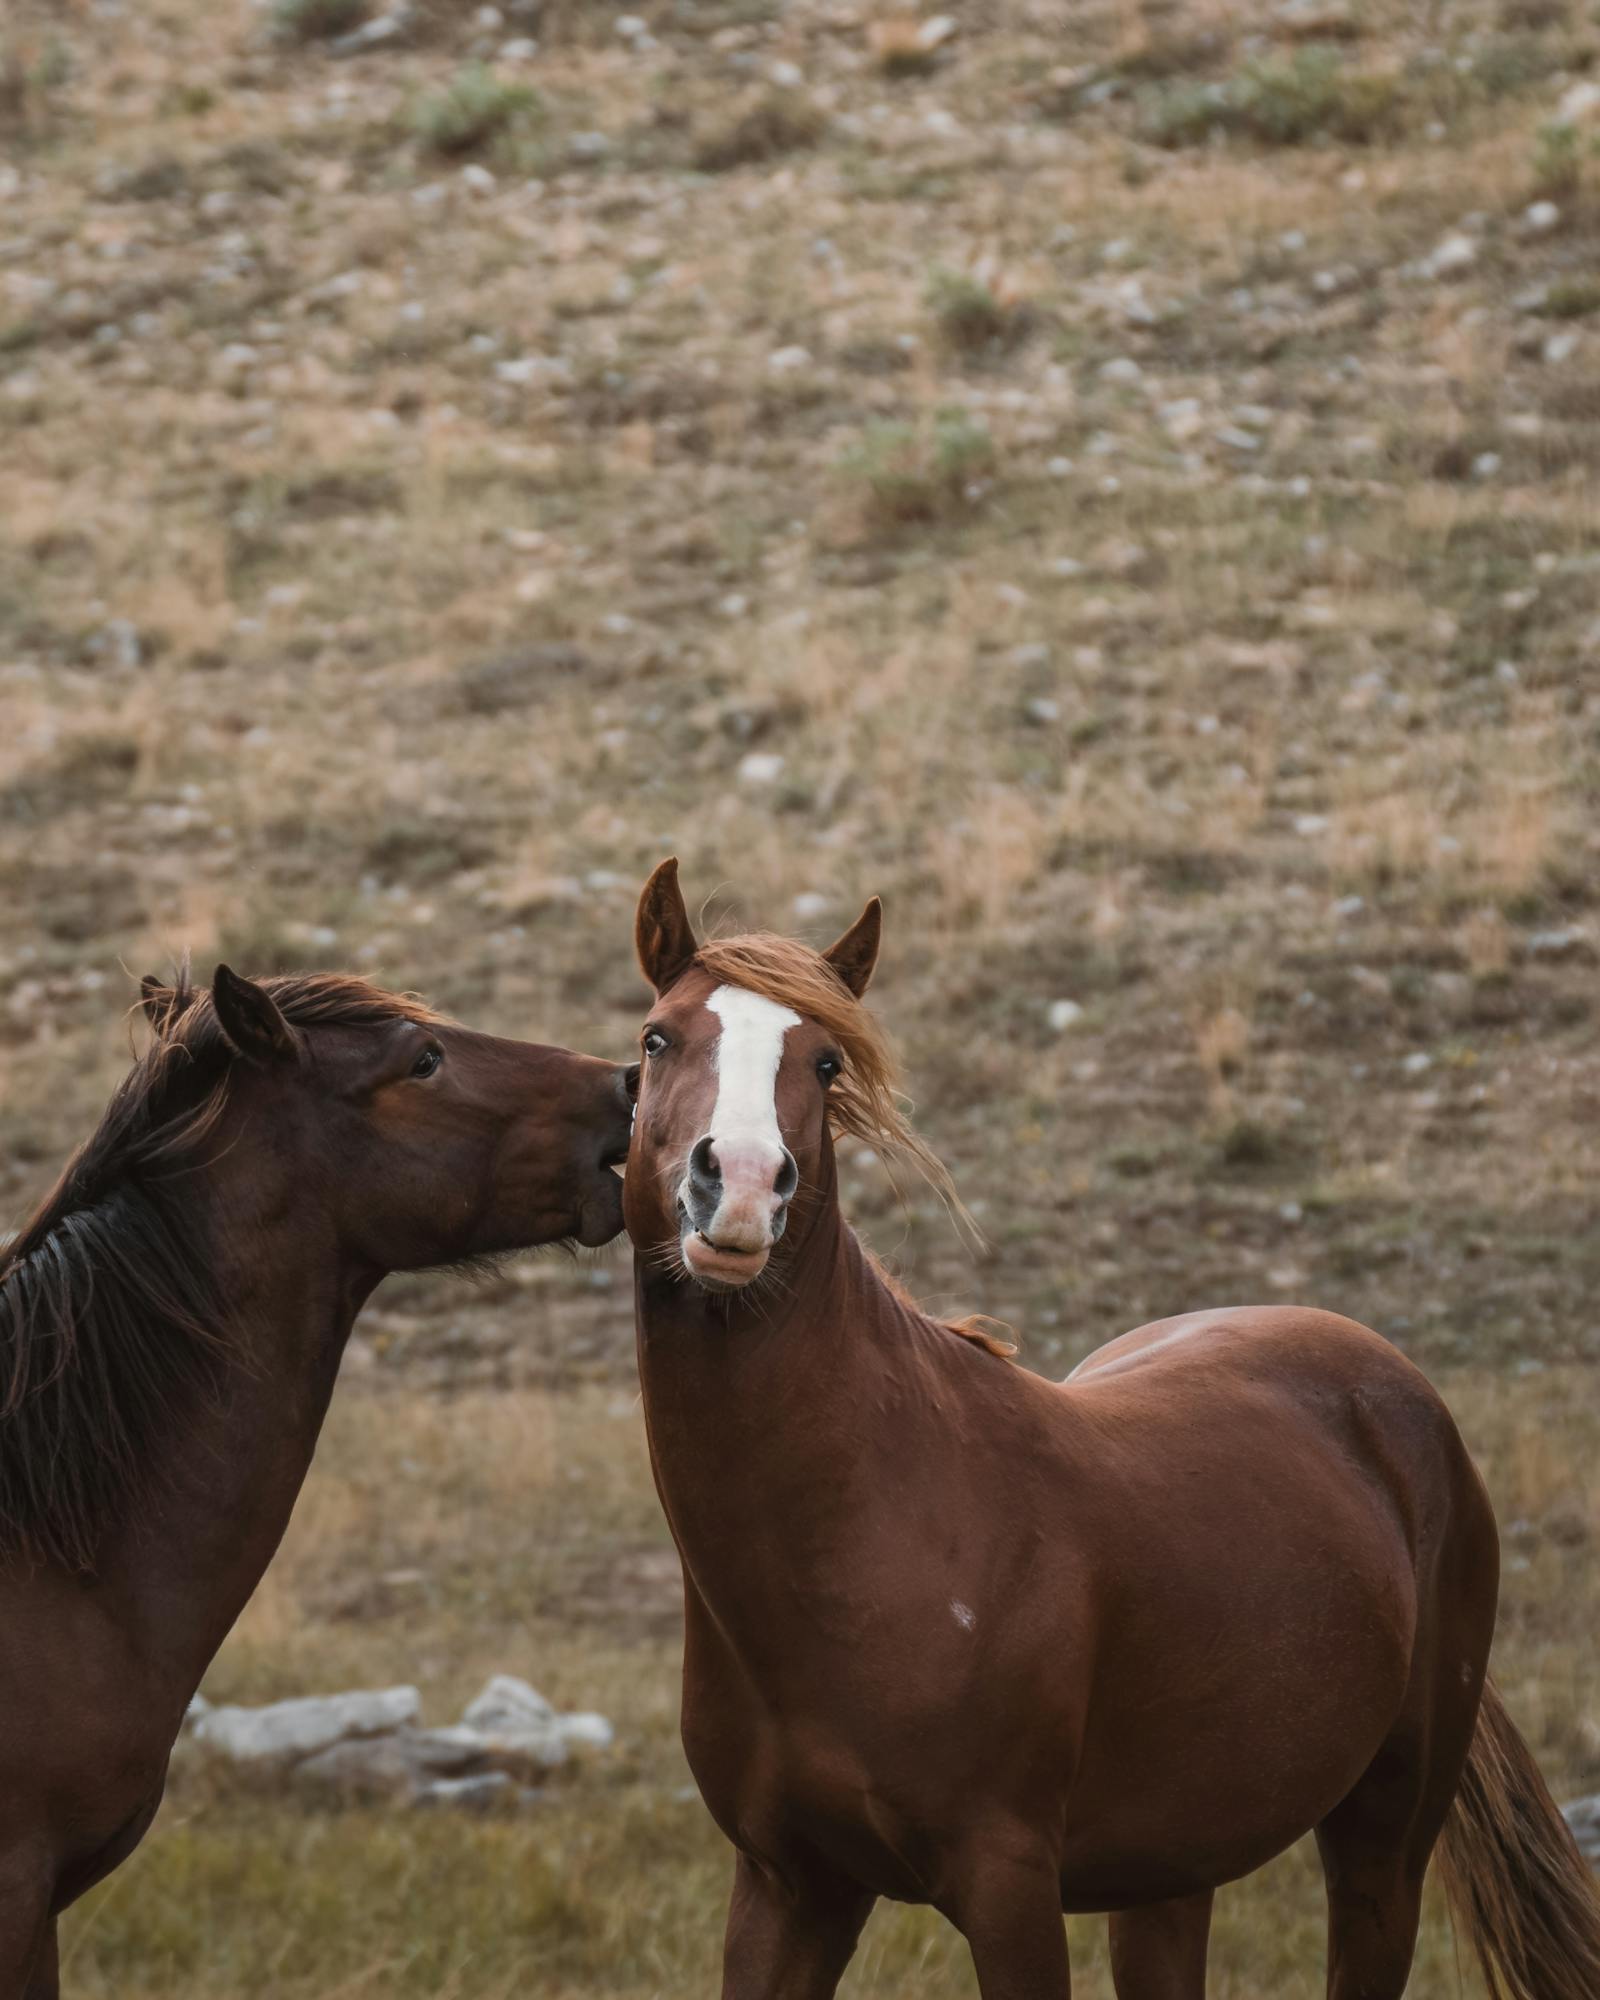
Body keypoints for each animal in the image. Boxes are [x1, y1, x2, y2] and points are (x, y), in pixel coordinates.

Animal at [624, 868, 1600, 2000]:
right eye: (657, 1037)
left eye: (823, 1062)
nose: (737, 1186)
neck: (868, 1521)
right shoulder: (788, 1885)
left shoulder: (1006, 1882)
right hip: (1171, 1867)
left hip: (1384, 1844)